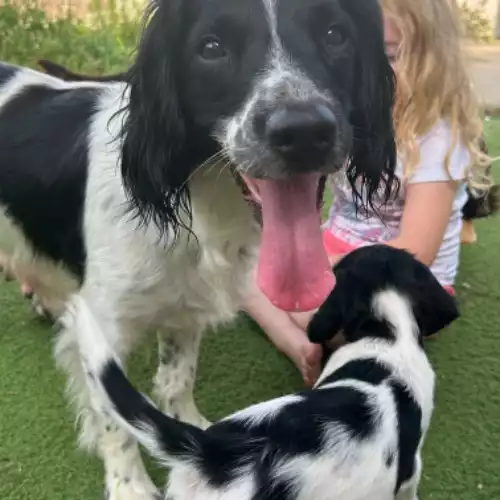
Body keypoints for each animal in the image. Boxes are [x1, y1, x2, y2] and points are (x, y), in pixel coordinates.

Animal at [1, 0, 396, 496]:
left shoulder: (185, 305)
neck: (200, 201)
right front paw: (130, 485)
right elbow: (114, 414)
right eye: (211, 48)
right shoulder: (103, 325)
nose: (304, 131)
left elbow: (176, 377)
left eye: (335, 34)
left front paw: (197, 435)